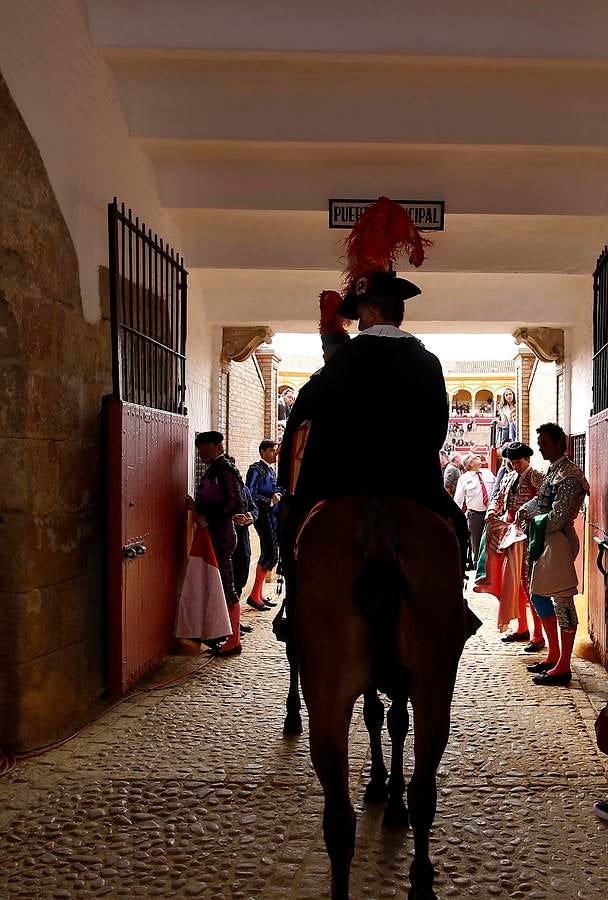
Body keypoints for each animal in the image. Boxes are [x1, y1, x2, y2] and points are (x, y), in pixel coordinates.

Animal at [296, 496, 468, 896]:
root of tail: (377, 536)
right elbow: (391, 721)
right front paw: (386, 789)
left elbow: (382, 717)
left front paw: (381, 786)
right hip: (433, 681)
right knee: (420, 790)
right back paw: (420, 880)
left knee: (341, 815)